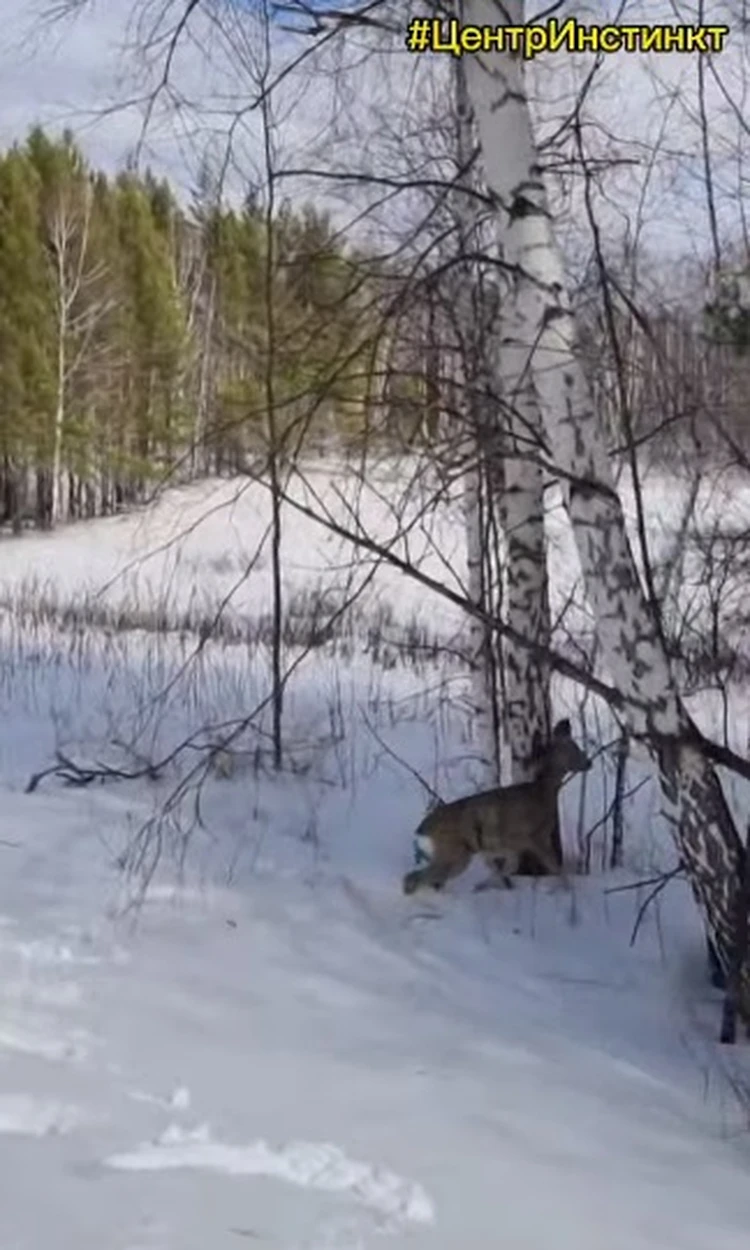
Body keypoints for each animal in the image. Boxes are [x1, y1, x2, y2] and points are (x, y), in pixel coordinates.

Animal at [402, 720, 590, 895]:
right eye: (574, 749)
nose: (589, 762)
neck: (543, 792)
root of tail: (423, 827)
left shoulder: (509, 846)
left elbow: (508, 867)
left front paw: (482, 886)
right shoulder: (535, 837)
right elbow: (555, 866)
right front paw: (569, 891)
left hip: (452, 853)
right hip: (454, 853)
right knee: (415, 877)